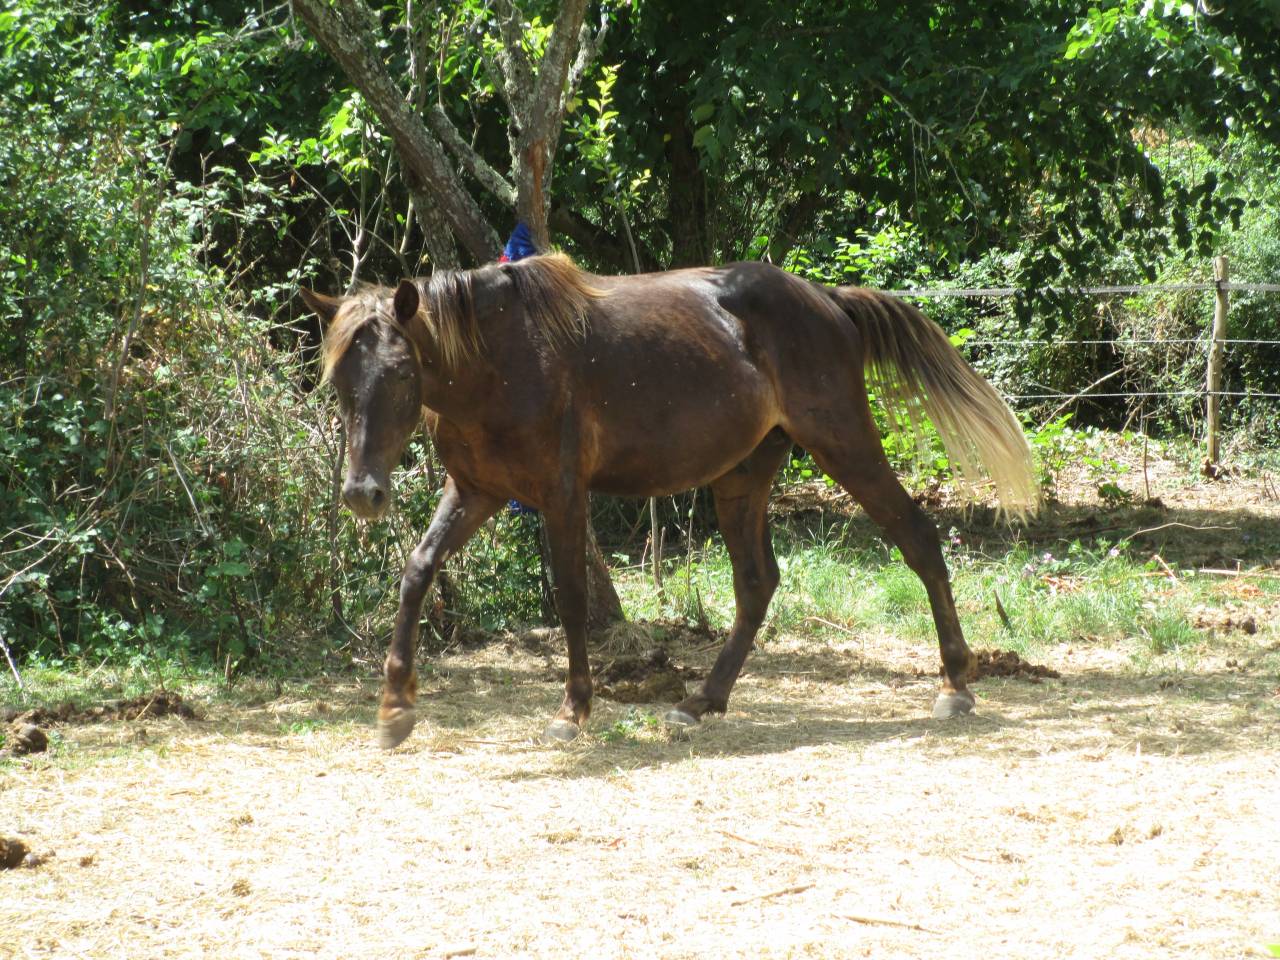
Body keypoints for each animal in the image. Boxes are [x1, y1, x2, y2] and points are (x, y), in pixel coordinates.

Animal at [300, 255, 1036, 749]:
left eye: (401, 374)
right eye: (337, 378)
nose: (362, 493)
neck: (502, 363)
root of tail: (828, 300)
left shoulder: (560, 495)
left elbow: (571, 597)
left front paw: (572, 710)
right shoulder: (477, 492)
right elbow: (417, 573)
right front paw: (394, 709)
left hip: (844, 443)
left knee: (917, 536)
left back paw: (956, 685)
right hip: (743, 475)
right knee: (757, 583)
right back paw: (701, 701)